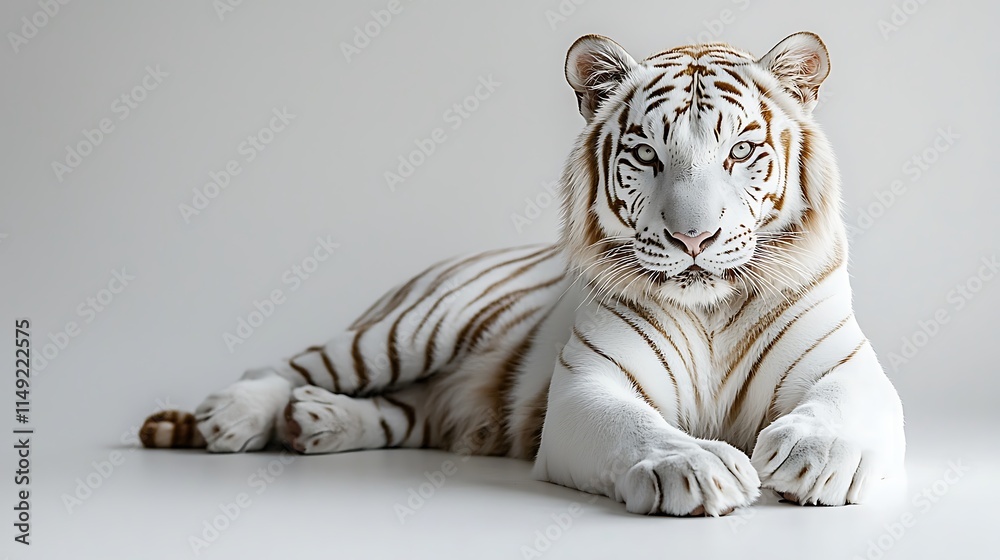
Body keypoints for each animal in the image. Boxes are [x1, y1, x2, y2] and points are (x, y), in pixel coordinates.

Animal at [141, 32, 905, 517]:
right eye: (646, 156)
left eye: (742, 151)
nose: (693, 237)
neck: (711, 310)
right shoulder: (588, 389)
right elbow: (638, 428)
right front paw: (696, 466)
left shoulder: (849, 366)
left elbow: (852, 405)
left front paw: (816, 456)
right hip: (411, 332)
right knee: (288, 364)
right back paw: (235, 416)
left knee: (407, 411)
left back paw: (317, 423)